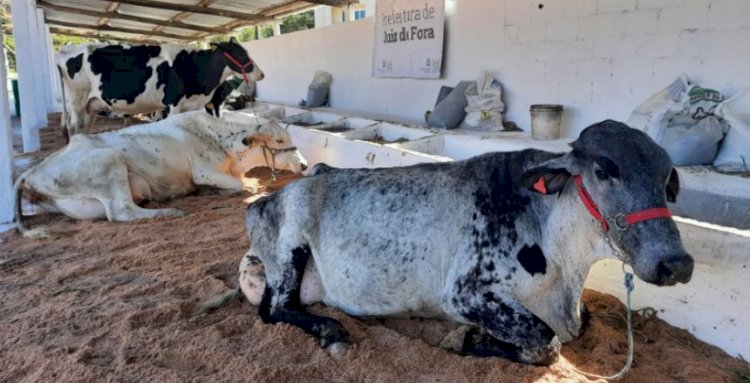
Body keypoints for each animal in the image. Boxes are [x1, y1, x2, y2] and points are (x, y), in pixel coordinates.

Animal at [55, 37, 262, 138]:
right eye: (241, 54)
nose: (261, 74)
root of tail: (65, 50)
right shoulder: (173, 104)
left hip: (90, 106)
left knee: (83, 129)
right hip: (77, 103)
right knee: (73, 129)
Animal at [198, 120, 692, 366]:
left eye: (668, 177)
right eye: (604, 170)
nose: (678, 264)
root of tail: (263, 201)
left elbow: (580, 322)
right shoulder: (466, 291)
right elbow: (545, 341)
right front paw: (465, 339)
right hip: (290, 249)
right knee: (275, 309)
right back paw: (332, 332)